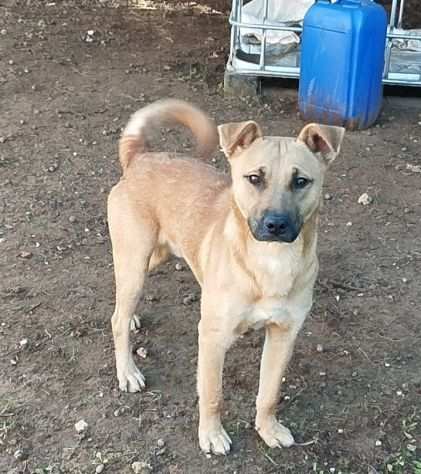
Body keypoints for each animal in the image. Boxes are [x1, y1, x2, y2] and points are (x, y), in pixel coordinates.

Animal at [106, 99, 342, 456]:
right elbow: (212, 395)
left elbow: (269, 393)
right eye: (254, 178)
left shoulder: (284, 334)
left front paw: (268, 429)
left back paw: (131, 318)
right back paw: (128, 370)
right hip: (135, 260)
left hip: (154, 256)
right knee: (116, 317)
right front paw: (211, 435)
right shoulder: (212, 338)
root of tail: (141, 158)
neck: (270, 263)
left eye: (301, 181)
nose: (275, 224)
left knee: (121, 300)